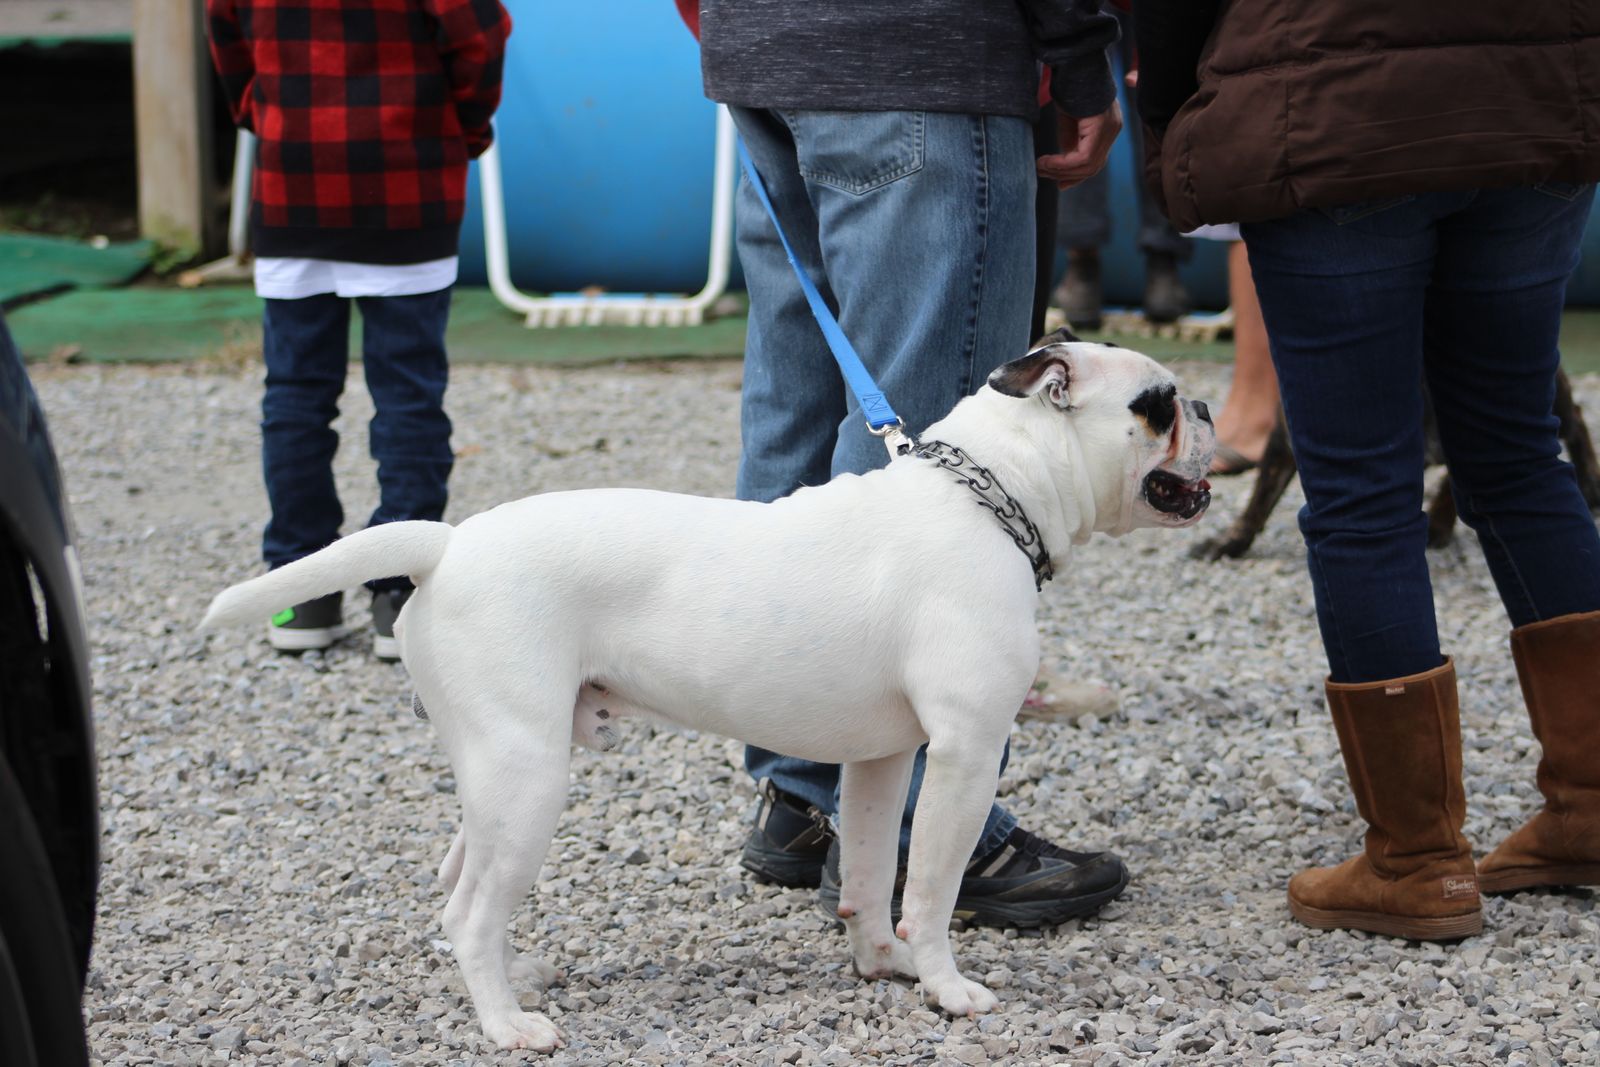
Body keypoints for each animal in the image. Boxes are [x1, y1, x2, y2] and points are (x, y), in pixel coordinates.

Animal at [200, 329, 1216, 1051]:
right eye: (1157, 405)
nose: (1206, 403)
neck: (991, 491)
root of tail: (448, 544)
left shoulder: (883, 761)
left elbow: (869, 873)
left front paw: (881, 962)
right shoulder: (964, 758)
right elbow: (929, 887)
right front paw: (945, 986)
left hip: (497, 771)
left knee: (461, 884)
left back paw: (515, 977)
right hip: (529, 779)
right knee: (467, 908)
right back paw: (506, 1024)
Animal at [1192, 368, 1600, 561]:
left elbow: (1452, 486)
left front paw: (1438, 523)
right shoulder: (1283, 443)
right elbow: (1259, 498)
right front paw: (1230, 542)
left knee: (1577, 420)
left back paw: (1590, 485)